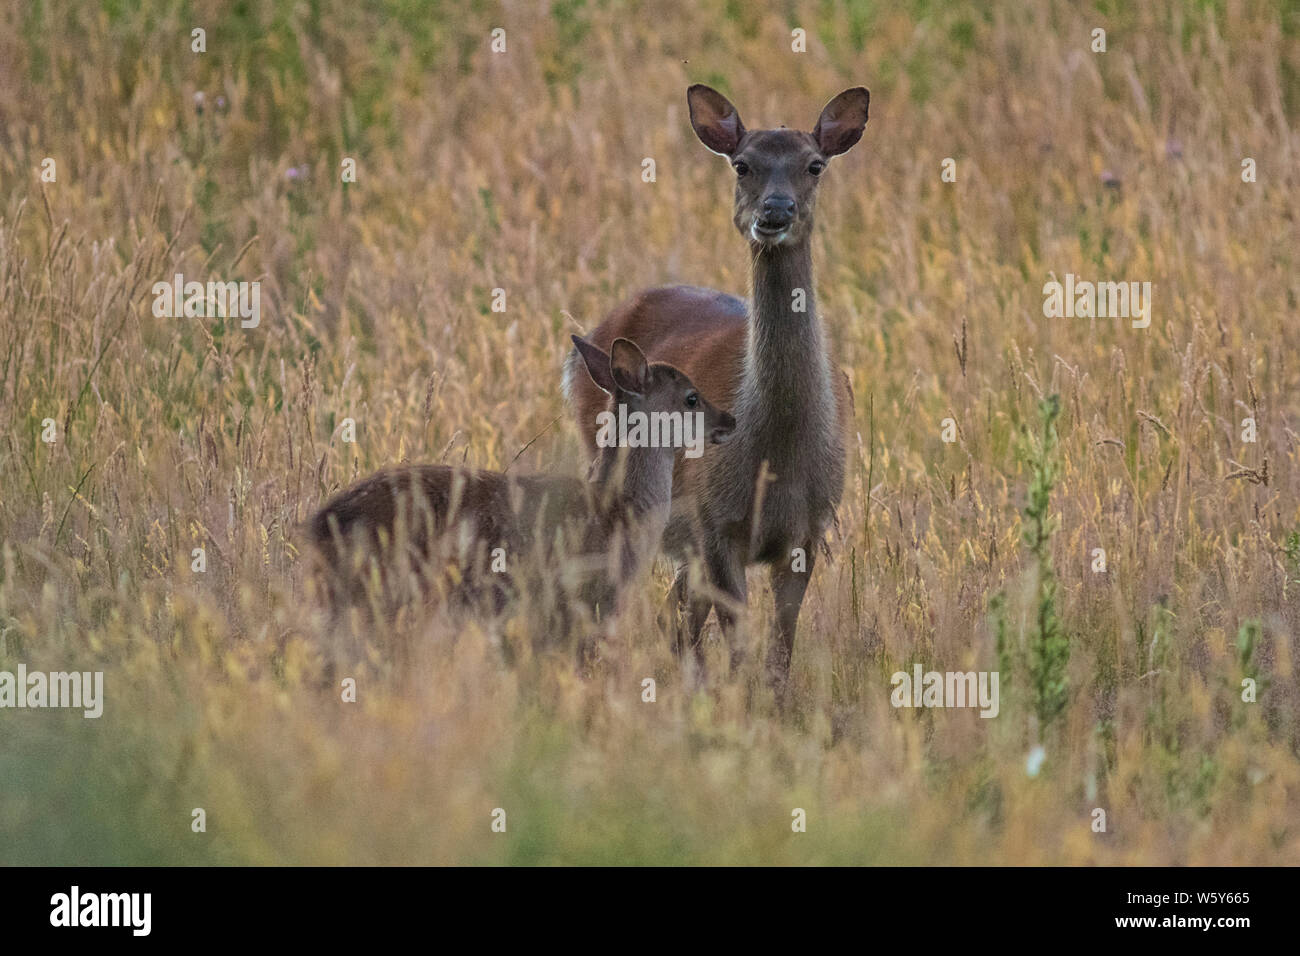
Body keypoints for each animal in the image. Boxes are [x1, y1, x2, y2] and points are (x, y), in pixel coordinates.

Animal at [562, 84, 868, 701]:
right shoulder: (715, 523)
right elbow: (741, 640)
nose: (774, 213)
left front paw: (768, 704)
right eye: (742, 163)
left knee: (674, 618)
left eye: (815, 165)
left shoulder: (810, 529)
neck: (778, 454)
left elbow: (780, 648)